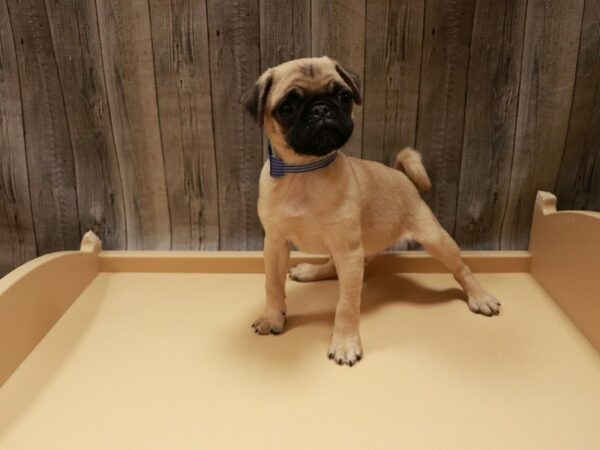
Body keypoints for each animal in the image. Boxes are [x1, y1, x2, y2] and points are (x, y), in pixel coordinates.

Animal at [241, 56, 500, 366]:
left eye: (343, 96)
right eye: (287, 107)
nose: (321, 109)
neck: (304, 170)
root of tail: (401, 174)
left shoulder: (347, 248)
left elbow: (347, 304)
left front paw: (344, 342)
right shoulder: (276, 244)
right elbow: (272, 285)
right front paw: (273, 317)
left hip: (434, 239)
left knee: (461, 268)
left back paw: (480, 296)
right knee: (334, 265)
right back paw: (311, 271)